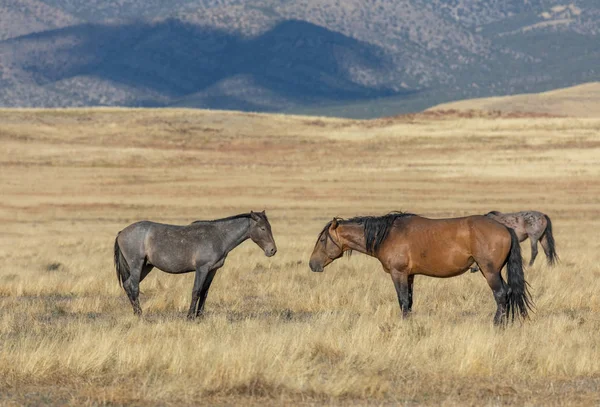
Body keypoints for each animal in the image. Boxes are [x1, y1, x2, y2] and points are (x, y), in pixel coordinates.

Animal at [113, 212, 278, 320]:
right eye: (262, 228)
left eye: (270, 227)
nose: (272, 250)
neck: (219, 236)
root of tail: (122, 232)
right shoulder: (202, 269)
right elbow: (196, 291)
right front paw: (190, 317)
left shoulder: (212, 270)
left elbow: (205, 292)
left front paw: (200, 316)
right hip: (136, 265)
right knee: (134, 287)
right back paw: (140, 315)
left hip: (146, 266)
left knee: (128, 285)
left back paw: (136, 313)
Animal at [312, 214, 532, 326]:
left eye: (322, 240)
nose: (312, 264)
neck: (388, 234)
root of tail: (505, 228)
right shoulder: (410, 276)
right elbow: (409, 302)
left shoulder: (398, 274)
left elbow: (402, 301)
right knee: (509, 292)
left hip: (490, 271)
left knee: (501, 294)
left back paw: (497, 324)